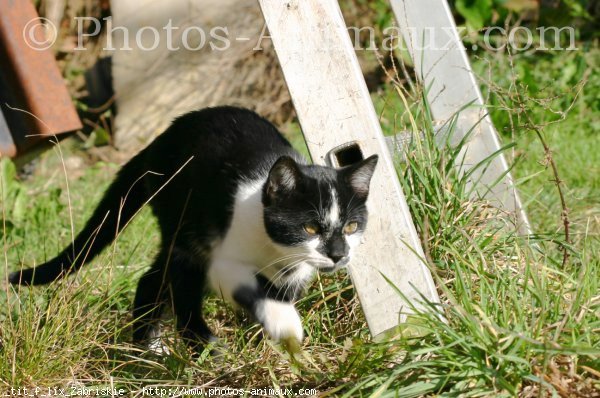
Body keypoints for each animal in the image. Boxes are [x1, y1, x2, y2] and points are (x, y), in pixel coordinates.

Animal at [9, 105, 378, 352]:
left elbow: (280, 294)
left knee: (152, 279)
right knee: (178, 283)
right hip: (186, 227)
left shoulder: (295, 274)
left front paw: (268, 345)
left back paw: (148, 349)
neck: (277, 252)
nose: (338, 255)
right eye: (311, 228)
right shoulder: (224, 261)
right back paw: (199, 345)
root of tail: (156, 142)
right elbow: (250, 290)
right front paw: (281, 322)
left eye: (351, 226)